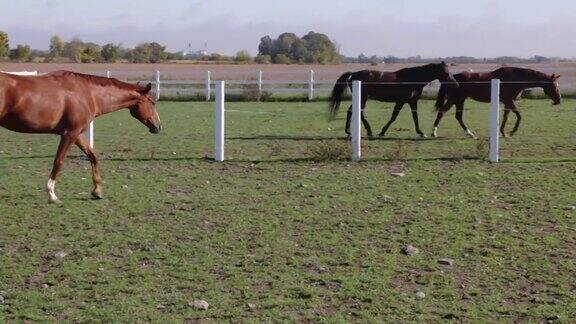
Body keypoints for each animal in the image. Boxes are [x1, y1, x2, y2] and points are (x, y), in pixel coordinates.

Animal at [0, 70, 162, 202]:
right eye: (152, 102)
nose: (158, 126)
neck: (88, 93)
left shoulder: (77, 134)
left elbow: (93, 155)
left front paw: (97, 191)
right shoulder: (69, 134)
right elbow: (58, 161)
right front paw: (52, 194)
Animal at [328, 62, 460, 137]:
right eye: (445, 72)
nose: (456, 84)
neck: (412, 78)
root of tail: (353, 74)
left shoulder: (412, 101)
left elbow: (415, 117)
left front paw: (420, 132)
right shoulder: (401, 101)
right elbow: (394, 117)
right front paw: (382, 132)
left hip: (362, 98)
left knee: (354, 111)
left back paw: (357, 131)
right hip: (362, 97)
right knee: (356, 111)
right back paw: (361, 131)